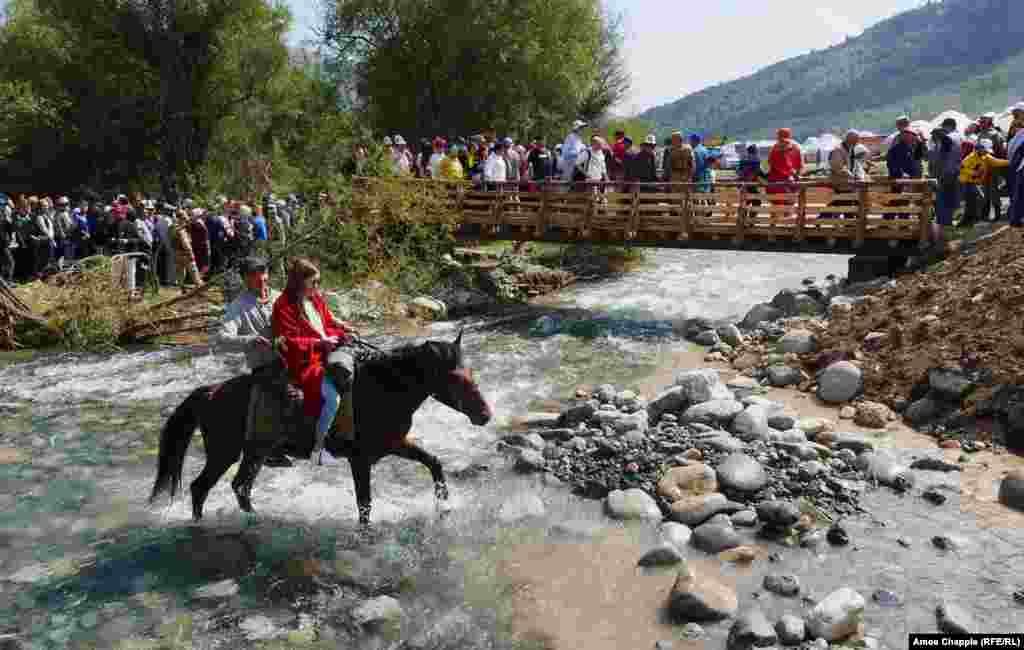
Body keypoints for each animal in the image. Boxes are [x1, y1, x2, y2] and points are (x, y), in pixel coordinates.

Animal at [148, 330, 492, 526]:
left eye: (469, 371)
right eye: (456, 377)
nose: (485, 415)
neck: (382, 388)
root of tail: (211, 391)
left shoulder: (395, 444)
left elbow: (433, 462)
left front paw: (443, 507)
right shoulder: (360, 459)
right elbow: (365, 503)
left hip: (254, 452)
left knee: (239, 487)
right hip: (225, 452)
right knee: (201, 487)